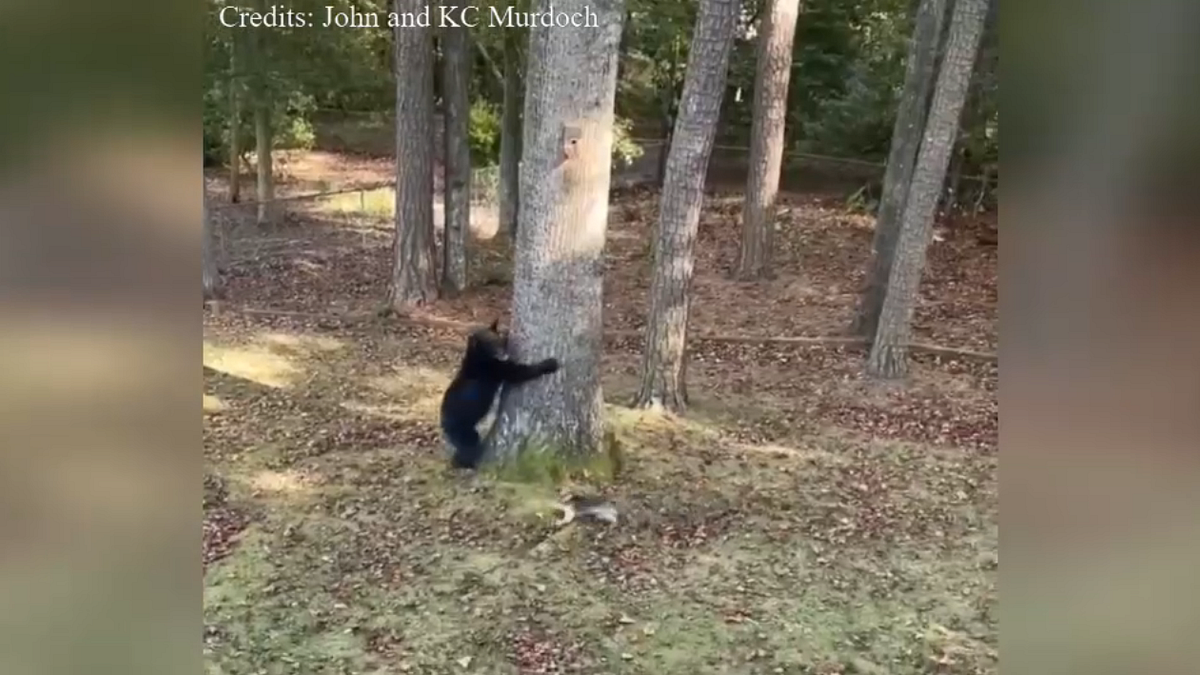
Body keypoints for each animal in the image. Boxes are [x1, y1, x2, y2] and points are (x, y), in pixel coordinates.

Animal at [440, 319, 560, 469]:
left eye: (498, 341)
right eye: (491, 345)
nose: (503, 353)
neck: (477, 357)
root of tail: (443, 420)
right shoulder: (495, 369)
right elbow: (519, 372)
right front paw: (550, 363)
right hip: (462, 428)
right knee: (469, 444)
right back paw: (468, 463)